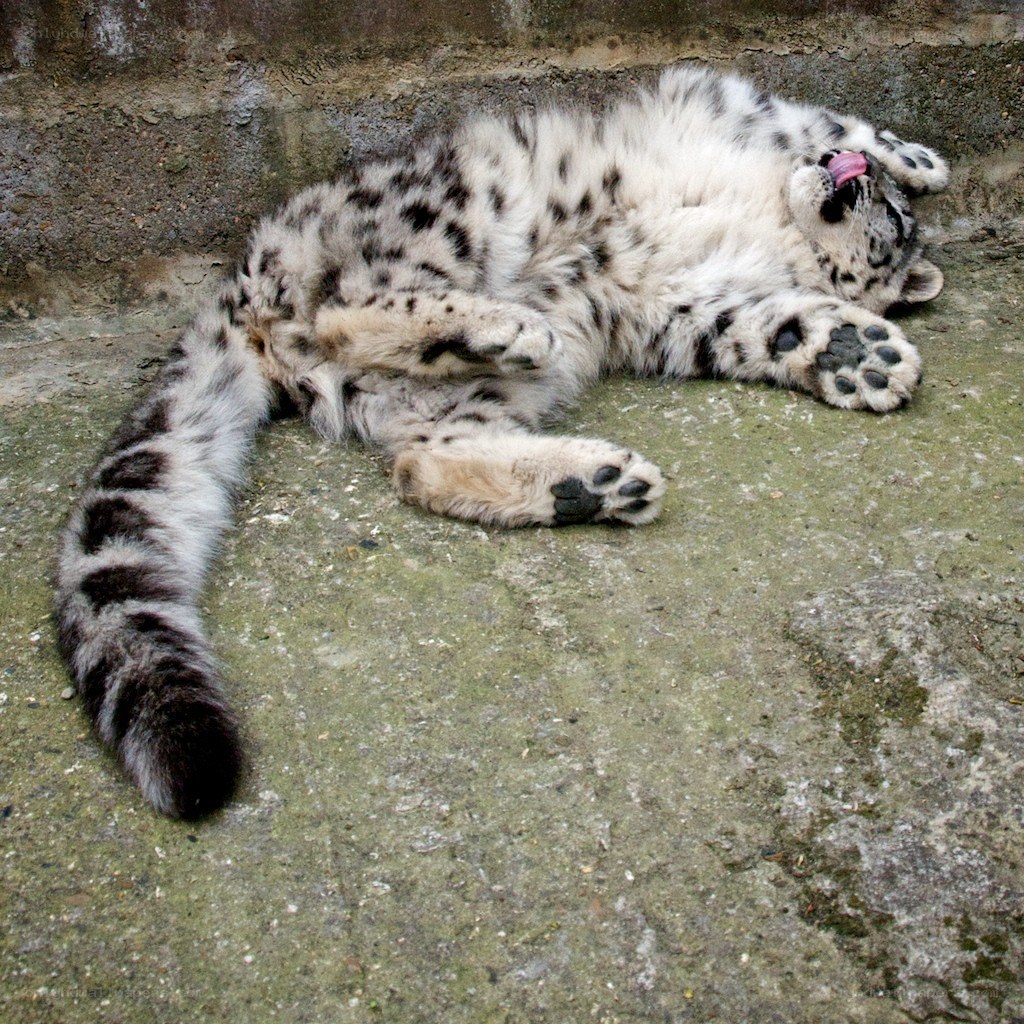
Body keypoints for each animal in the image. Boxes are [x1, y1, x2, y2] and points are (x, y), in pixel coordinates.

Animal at [54, 65, 949, 818]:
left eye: (890, 220)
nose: (849, 176)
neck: (773, 217)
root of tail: (251, 290)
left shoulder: (703, 304)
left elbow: (780, 323)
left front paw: (857, 353)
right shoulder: (724, 97)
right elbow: (822, 112)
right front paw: (915, 157)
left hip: (444, 395)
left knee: (418, 457)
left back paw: (588, 480)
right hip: (440, 213)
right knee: (349, 306)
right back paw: (508, 328)